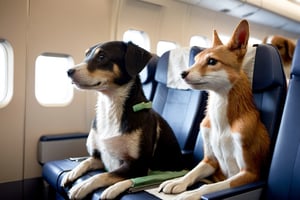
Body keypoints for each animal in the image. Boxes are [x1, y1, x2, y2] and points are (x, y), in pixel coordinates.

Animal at [61, 41, 182, 199]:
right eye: (86, 55)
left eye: (102, 56)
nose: (68, 71)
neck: (111, 105)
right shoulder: (100, 157)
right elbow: (86, 161)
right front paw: (72, 173)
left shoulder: (137, 166)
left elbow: (103, 175)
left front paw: (82, 186)